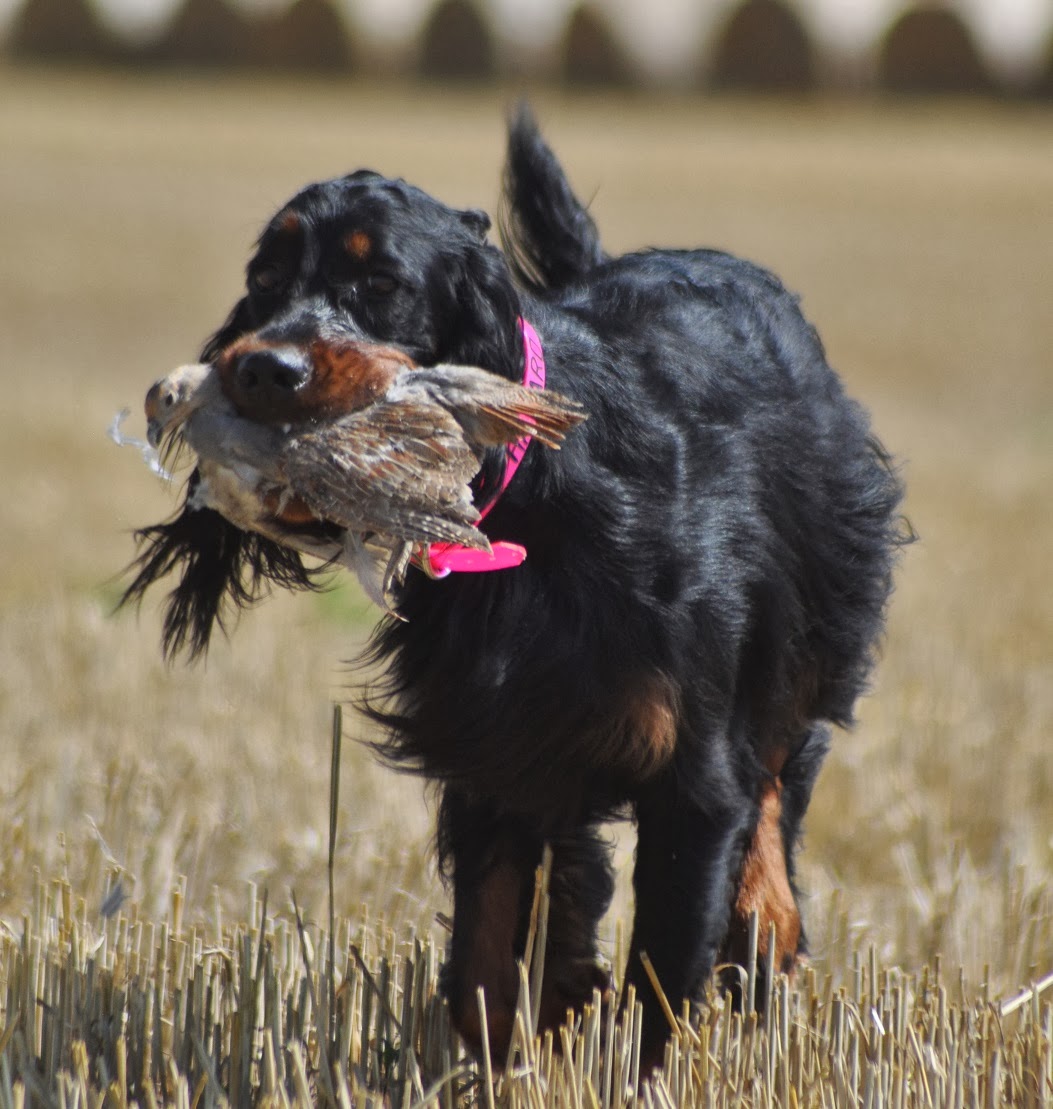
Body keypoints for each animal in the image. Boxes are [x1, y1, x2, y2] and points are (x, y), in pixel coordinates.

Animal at [125, 105, 908, 1064]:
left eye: (381, 281)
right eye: (265, 278)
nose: (266, 368)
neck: (541, 502)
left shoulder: (689, 775)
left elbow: (662, 972)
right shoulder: (497, 750)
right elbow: (484, 965)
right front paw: (531, 1037)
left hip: (808, 626)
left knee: (778, 774)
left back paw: (766, 919)